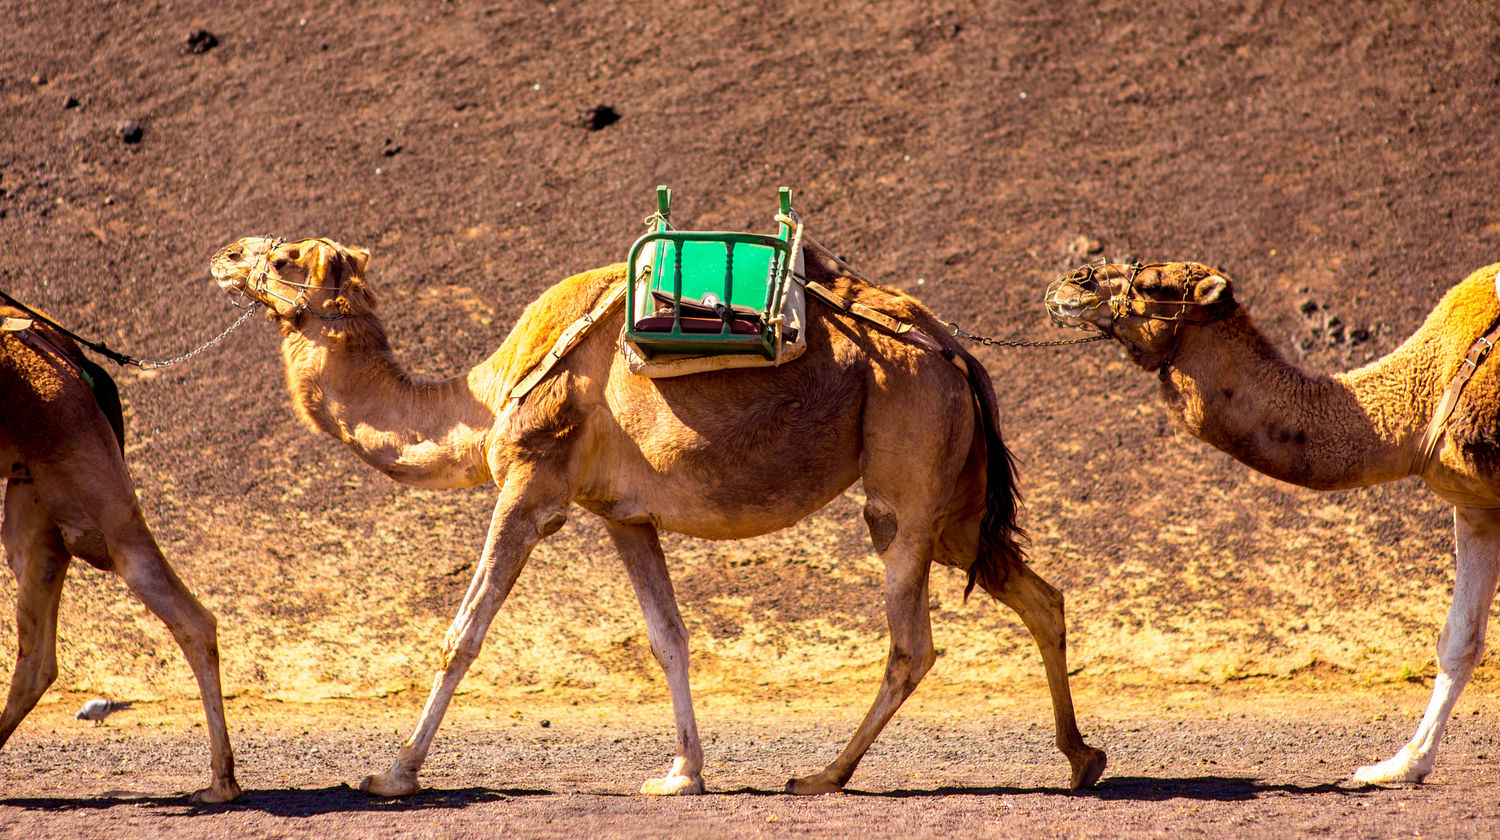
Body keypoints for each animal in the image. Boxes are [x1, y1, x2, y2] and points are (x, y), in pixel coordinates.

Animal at [0, 307, 240, 798]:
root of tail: (73, 358)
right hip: (39, 501)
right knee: (37, 657)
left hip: (85, 482)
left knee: (188, 616)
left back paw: (220, 783)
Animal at [205, 234, 1110, 792]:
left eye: (283, 258)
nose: (222, 256)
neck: (484, 397)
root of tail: (955, 351)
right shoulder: (622, 514)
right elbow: (668, 637)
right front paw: (682, 774)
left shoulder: (530, 486)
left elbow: (462, 635)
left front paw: (392, 774)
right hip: (957, 500)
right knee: (1039, 596)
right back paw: (1081, 760)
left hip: (907, 469)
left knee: (912, 640)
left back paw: (823, 775)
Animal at [1050, 259, 1500, 786]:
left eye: (1152, 284)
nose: (1073, 281)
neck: (1423, 398)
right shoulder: (1476, 507)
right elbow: (1459, 639)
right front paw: (1400, 765)